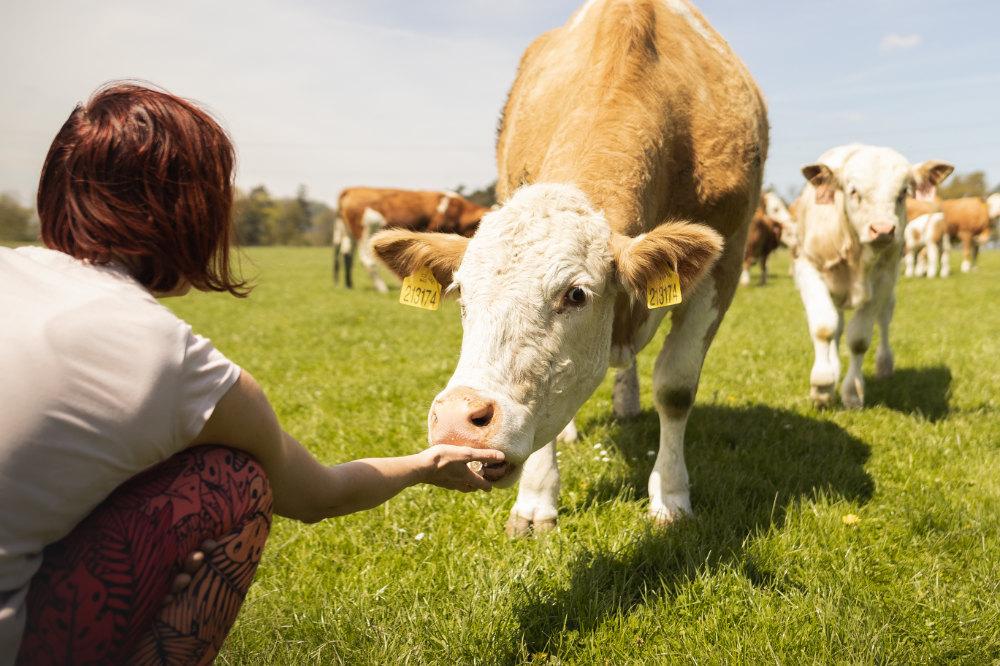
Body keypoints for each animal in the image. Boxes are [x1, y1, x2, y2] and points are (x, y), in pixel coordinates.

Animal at [332, 187, 488, 290]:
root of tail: (351, 190)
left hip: (347, 232)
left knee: (346, 254)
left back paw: (349, 285)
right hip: (365, 233)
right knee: (367, 261)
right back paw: (382, 288)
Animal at [372, 0, 768, 532]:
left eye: (576, 294)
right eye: (463, 298)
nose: (457, 420)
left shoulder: (724, 261)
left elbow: (676, 387)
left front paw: (670, 497)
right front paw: (536, 500)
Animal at [788, 143, 952, 408]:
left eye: (903, 192)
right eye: (853, 190)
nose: (883, 230)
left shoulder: (883, 280)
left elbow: (859, 340)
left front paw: (853, 393)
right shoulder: (807, 267)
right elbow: (824, 327)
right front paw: (822, 385)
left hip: (889, 291)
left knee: (883, 320)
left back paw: (884, 365)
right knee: (837, 325)